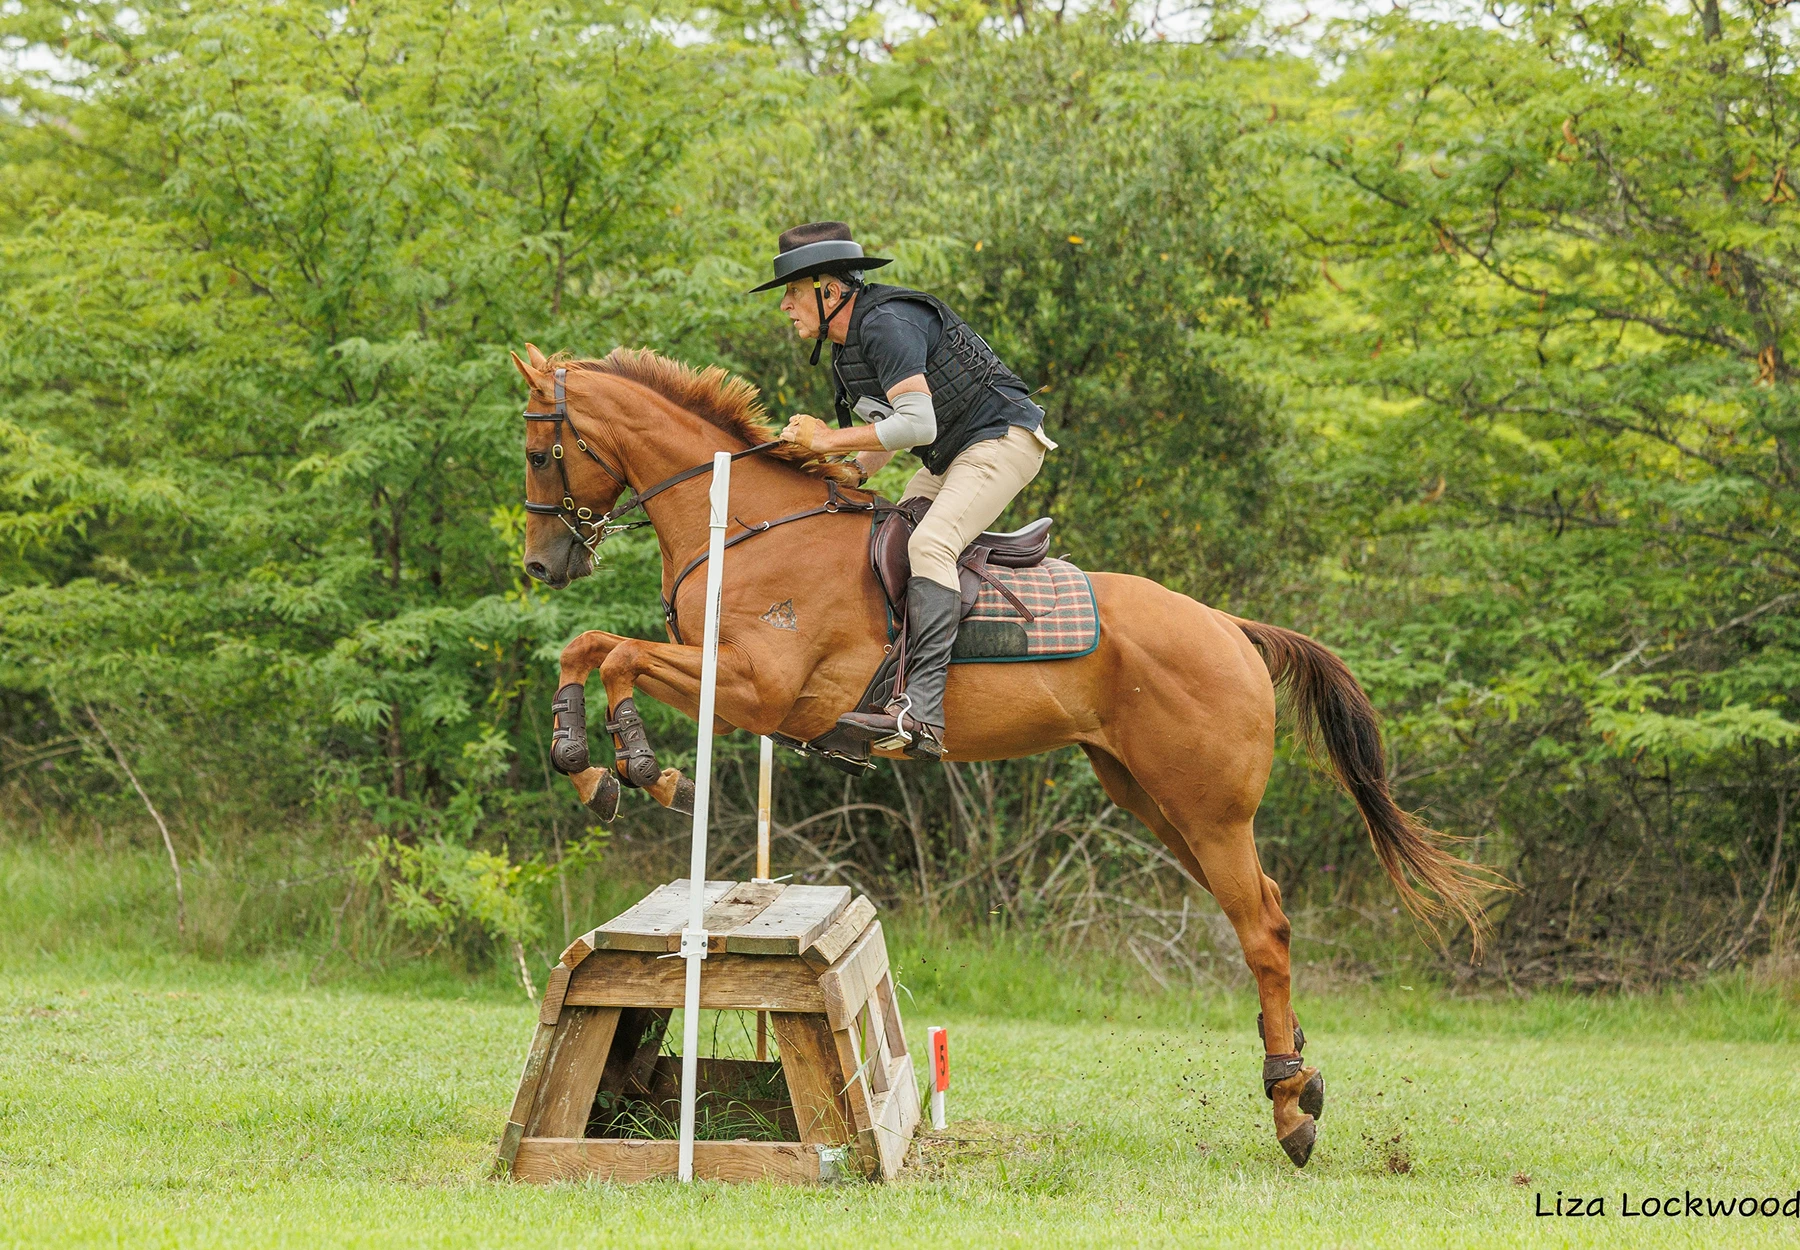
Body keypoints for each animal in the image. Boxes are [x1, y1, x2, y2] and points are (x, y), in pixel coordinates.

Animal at [511, 342, 1492, 1168]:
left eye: (538, 453)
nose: (544, 564)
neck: (751, 528)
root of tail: (1230, 626)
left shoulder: (760, 689)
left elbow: (619, 654)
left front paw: (640, 766)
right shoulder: (732, 683)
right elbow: (587, 646)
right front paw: (587, 763)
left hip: (1207, 810)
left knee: (1264, 931)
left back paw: (1291, 1110)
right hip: (1154, 803)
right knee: (1268, 911)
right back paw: (1299, 1084)